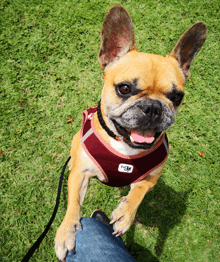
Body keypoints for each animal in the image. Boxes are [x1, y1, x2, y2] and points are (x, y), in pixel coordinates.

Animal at [55, 5, 206, 260]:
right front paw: (67, 231)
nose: (153, 107)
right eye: (124, 88)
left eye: (177, 97)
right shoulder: (80, 175)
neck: (124, 146)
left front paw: (125, 214)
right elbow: (73, 202)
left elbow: (139, 192)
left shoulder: (151, 177)